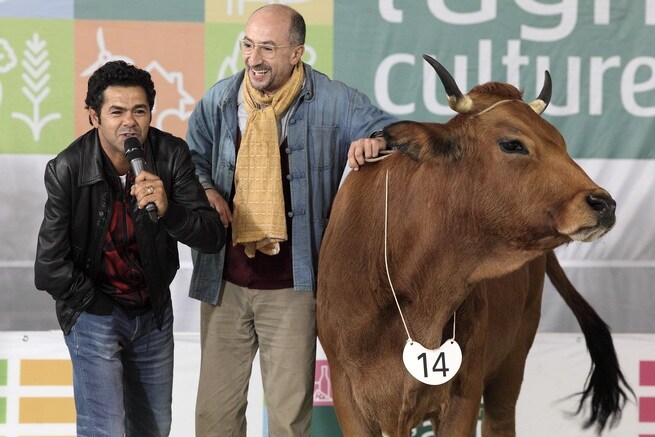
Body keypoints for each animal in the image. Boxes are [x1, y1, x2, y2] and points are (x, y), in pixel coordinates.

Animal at [316, 55, 633, 436]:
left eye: (560, 141)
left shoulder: (464, 393)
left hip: (511, 364)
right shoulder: (348, 396)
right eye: (512, 143)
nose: (603, 203)